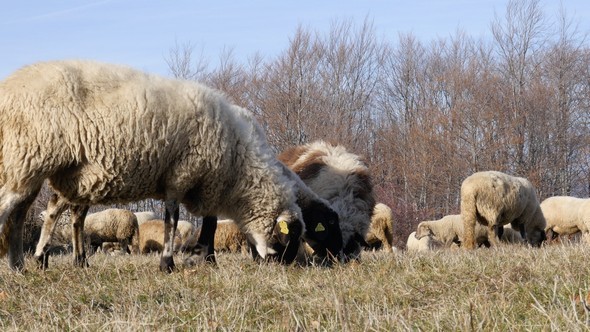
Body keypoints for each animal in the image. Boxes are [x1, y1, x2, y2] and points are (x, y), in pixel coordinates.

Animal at [0, 59, 302, 272]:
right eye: (286, 239)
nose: (286, 269)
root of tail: (8, 89)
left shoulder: (200, 183)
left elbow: (209, 223)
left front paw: (205, 258)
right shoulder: (182, 174)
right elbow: (173, 219)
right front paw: (169, 264)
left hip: (56, 173)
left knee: (36, 214)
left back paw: (30, 263)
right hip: (29, 157)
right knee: (15, 210)